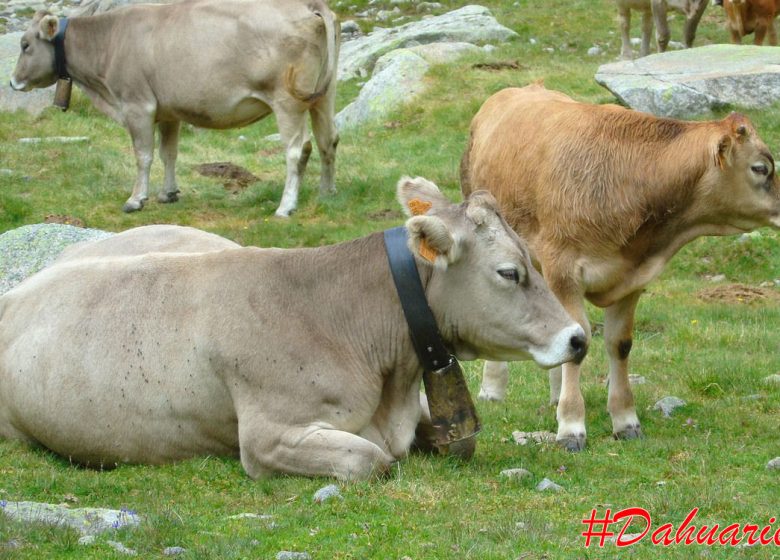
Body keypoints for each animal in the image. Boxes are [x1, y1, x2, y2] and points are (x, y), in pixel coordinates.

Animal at [9, 0, 340, 218]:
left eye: (25, 45)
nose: (12, 82)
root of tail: (309, 5)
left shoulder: (137, 105)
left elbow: (143, 155)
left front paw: (135, 199)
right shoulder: (168, 111)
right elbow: (168, 153)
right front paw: (168, 193)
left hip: (287, 100)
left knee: (298, 149)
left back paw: (286, 206)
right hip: (323, 95)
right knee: (328, 141)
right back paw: (326, 193)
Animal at [460, 83, 780, 451]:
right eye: (761, 168)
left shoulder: (633, 277)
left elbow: (619, 344)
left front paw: (625, 421)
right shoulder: (564, 269)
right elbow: (580, 344)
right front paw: (571, 428)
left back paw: (555, 395)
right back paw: (493, 389)